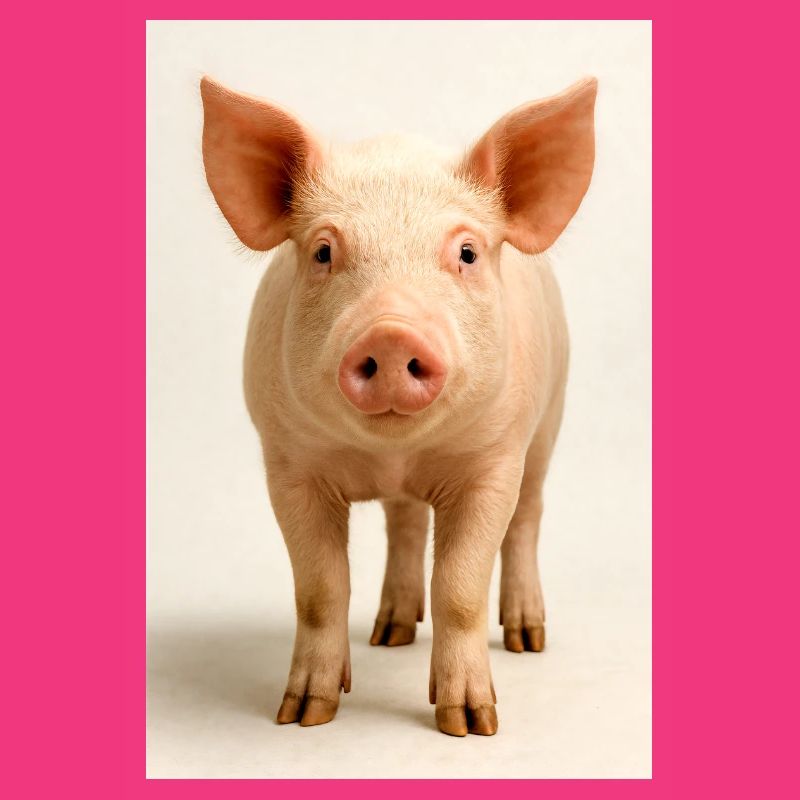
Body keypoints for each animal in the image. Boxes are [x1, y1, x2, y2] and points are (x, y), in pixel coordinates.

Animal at [200, 75, 597, 737]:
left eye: (466, 253)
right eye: (323, 252)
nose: (390, 333)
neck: (395, 454)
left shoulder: (494, 461)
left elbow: (460, 586)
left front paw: (472, 725)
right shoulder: (288, 463)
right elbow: (319, 588)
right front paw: (303, 716)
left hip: (551, 419)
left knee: (527, 519)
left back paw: (526, 639)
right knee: (406, 523)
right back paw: (389, 634)